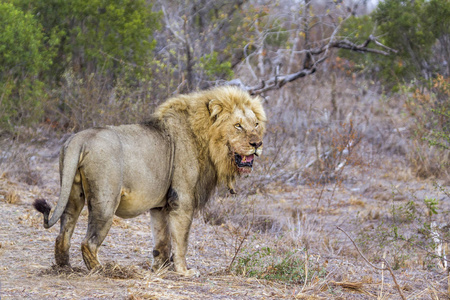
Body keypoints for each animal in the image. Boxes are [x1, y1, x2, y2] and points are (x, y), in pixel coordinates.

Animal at [35, 85, 268, 276]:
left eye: (256, 124)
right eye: (238, 126)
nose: (257, 144)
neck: (207, 143)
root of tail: (79, 139)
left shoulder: (160, 205)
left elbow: (162, 240)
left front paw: (160, 268)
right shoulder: (182, 200)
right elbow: (181, 240)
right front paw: (184, 271)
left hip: (73, 194)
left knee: (63, 234)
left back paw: (64, 267)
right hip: (106, 201)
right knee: (88, 243)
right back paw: (103, 270)